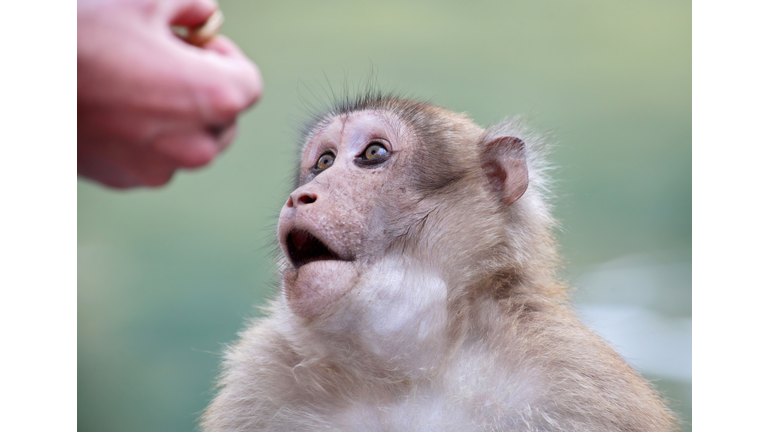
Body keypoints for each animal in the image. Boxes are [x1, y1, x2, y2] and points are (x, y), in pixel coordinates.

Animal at [200, 94, 680, 432]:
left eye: (373, 154)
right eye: (323, 162)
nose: (301, 196)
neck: (405, 371)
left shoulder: (578, 383)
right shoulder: (259, 385)